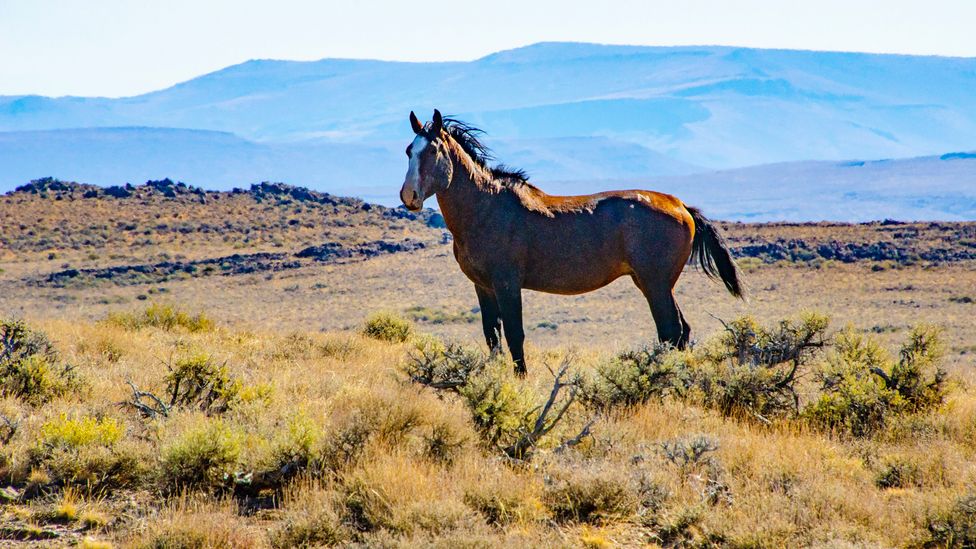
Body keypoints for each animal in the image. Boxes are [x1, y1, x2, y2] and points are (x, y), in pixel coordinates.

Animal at [400, 109, 744, 374]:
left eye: (432, 151)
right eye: (408, 150)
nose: (409, 196)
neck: (486, 208)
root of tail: (681, 205)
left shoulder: (507, 283)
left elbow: (514, 334)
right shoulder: (483, 286)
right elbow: (492, 337)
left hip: (655, 283)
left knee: (670, 330)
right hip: (653, 283)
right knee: (681, 331)